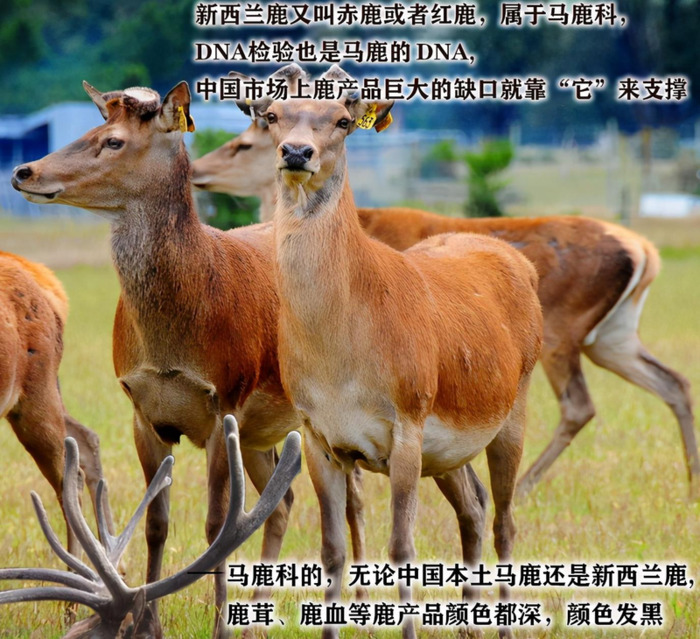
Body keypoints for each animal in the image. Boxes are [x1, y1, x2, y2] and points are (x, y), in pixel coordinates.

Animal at [191, 105, 699, 501]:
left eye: (243, 144)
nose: (196, 169)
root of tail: (645, 251)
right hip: (612, 336)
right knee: (673, 380)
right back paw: (692, 483)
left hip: (564, 332)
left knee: (578, 406)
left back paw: (526, 486)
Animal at [233, 63, 544, 639]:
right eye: (273, 116)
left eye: (341, 119)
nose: (296, 152)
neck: (341, 361)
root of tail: (522, 264)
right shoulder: (317, 433)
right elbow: (333, 551)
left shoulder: (408, 419)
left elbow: (402, 548)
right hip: (448, 450)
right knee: (473, 507)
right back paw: (468, 624)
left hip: (514, 406)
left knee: (505, 520)